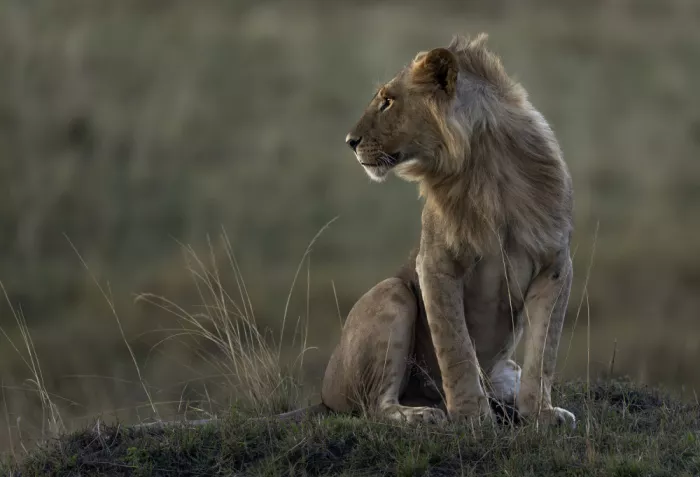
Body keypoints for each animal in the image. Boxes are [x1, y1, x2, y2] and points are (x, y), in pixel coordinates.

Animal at [319, 33, 575, 428]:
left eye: (388, 101)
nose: (350, 141)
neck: (485, 167)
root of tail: (323, 393)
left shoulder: (556, 264)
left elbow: (543, 351)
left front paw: (541, 414)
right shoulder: (435, 263)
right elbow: (456, 346)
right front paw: (471, 415)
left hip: (505, 367)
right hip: (392, 291)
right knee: (375, 405)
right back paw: (424, 414)